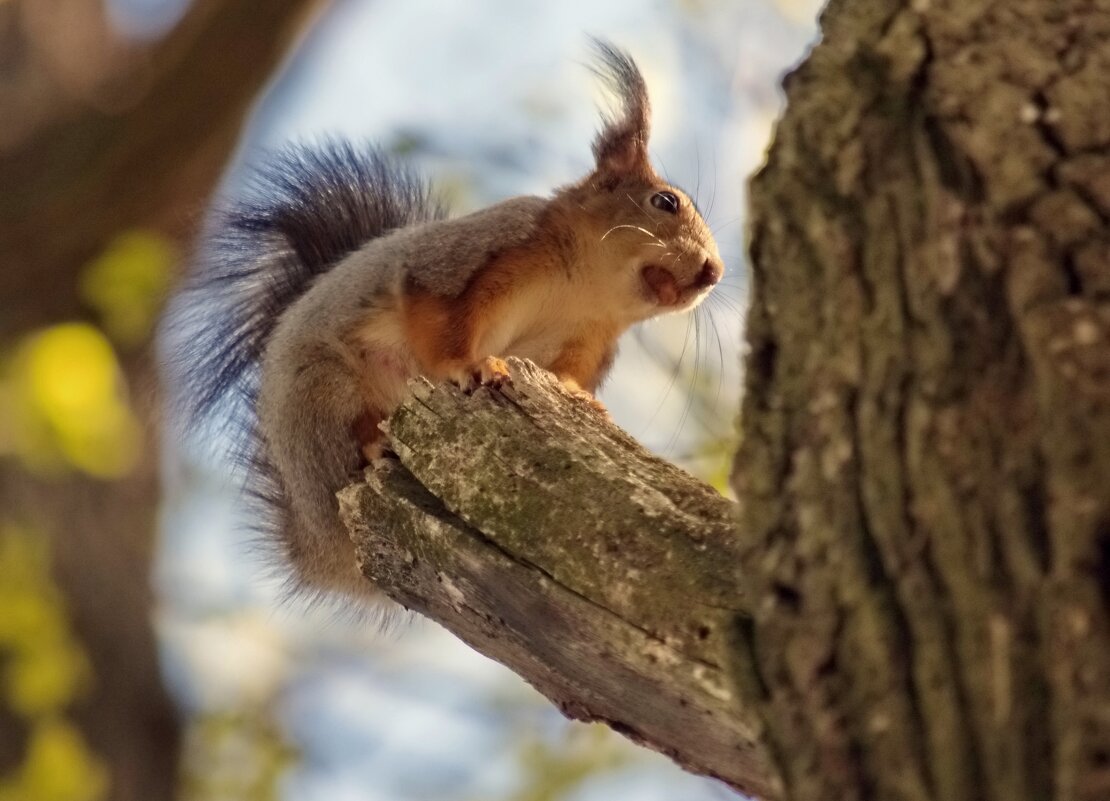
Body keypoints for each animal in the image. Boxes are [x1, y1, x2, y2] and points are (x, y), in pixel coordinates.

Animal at [164, 42, 719, 599]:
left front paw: (580, 401)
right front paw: (470, 367)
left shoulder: (587, 338)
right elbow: (439, 323)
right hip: (322, 392)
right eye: (665, 201)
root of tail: (319, 548)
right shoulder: (469, 259)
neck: (584, 289)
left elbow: (564, 376)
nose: (714, 272)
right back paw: (375, 443)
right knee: (346, 455)